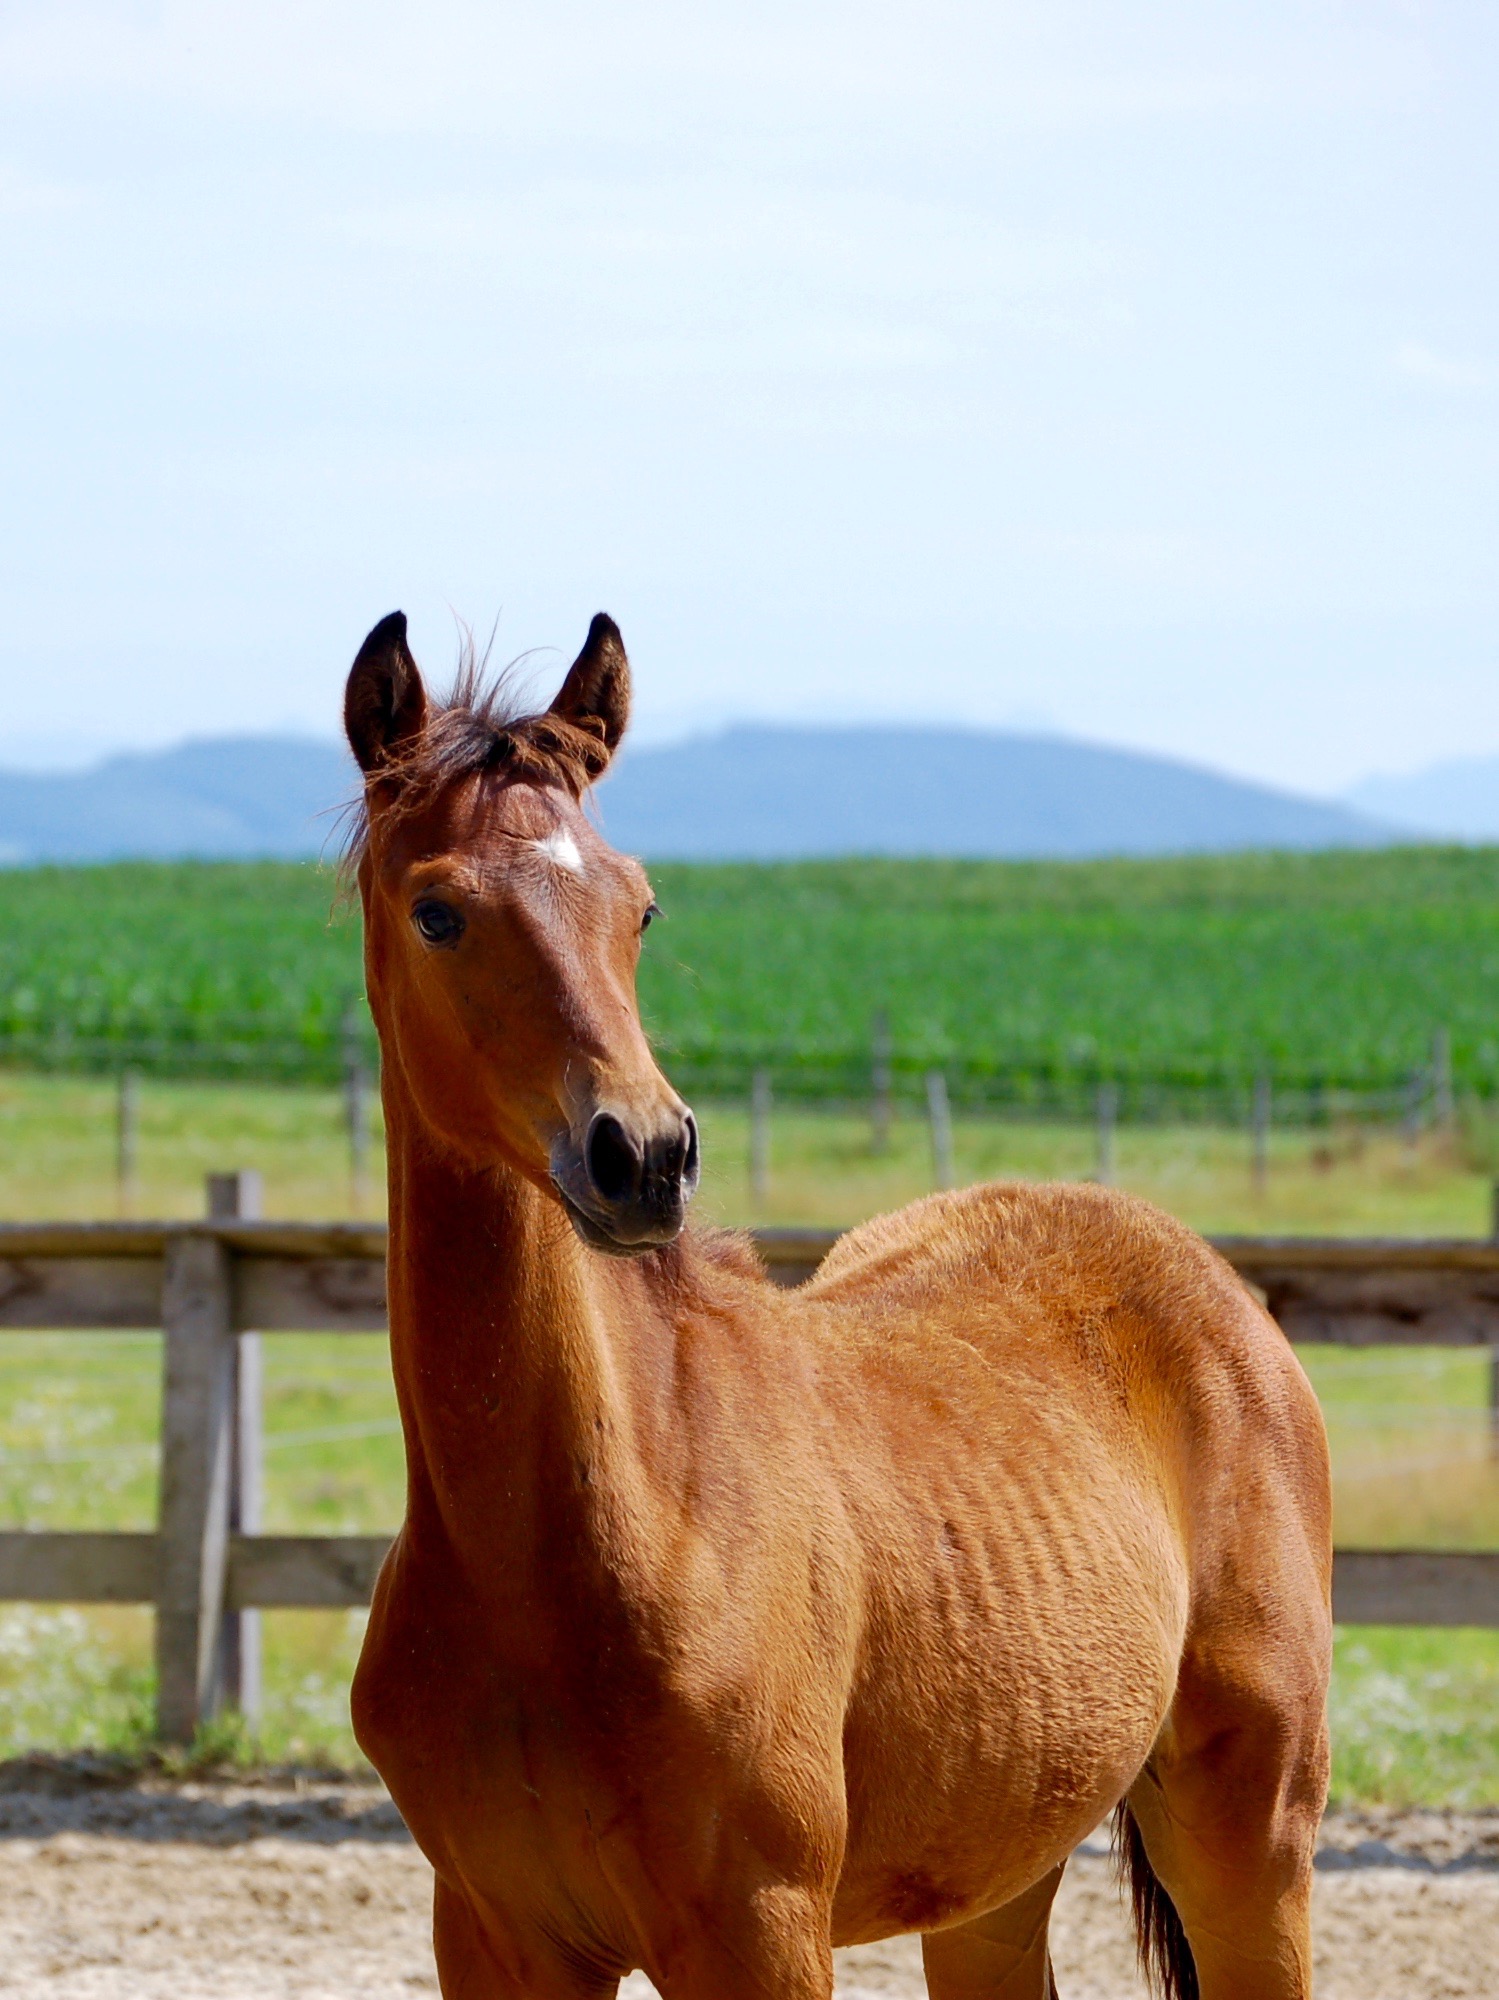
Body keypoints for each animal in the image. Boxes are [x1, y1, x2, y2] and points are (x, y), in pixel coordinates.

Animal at [343, 609, 1332, 2000]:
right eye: (438, 910)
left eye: (639, 905)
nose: (643, 1156)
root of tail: (1223, 1300)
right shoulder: (492, 1933)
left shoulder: (757, 1927)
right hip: (995, 1871)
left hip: (1251, 1838)